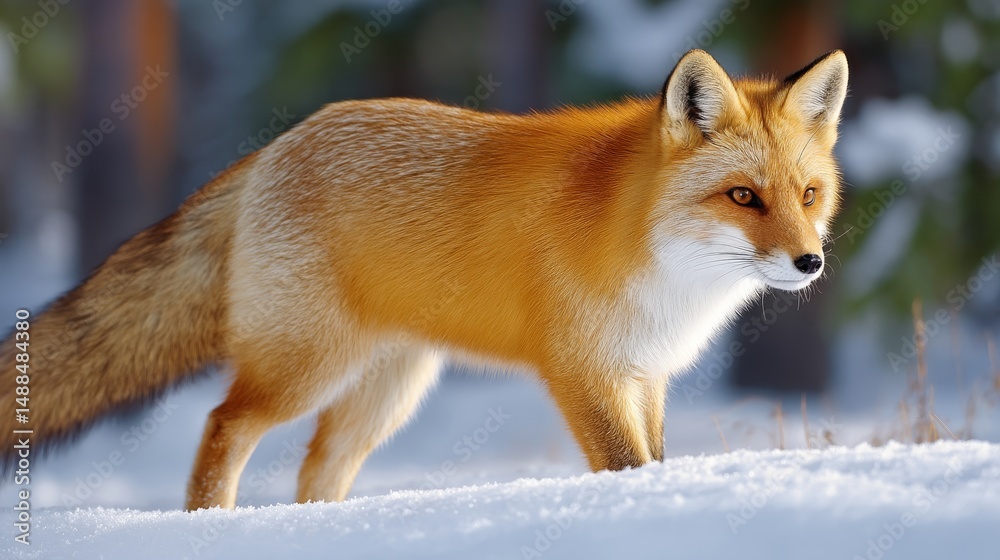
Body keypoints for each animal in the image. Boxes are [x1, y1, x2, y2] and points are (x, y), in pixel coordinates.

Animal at [0, 49, 847, 510]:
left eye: (808, 196)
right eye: (743, 197)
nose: (809, 262)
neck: (654, 254)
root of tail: (277, 145)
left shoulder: (646, 375)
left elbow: (654, 461)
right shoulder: (584, 371)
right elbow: (626, 466)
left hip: (389, 390)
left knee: (318, 467)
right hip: (308, 368)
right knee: (222, 425)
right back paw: (215, 526)